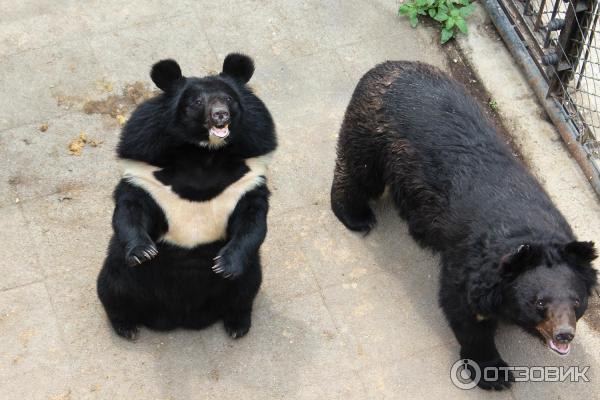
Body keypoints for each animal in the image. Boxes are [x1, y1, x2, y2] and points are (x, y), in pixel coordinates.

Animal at [98, 52, 276, 340]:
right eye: (197, 102)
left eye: (228, 99)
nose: (220, 115)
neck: (204, 155)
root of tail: (180, 318)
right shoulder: (143, 169)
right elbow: (130, 209)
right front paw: (144, 252)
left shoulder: (249, 174)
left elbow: (252, 220)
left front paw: (223, 265)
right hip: (120, 270)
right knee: (113, 288)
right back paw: (126, 326)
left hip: (250, 271)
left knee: (247, 288)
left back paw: (237, 325)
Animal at [330, 61, 596, 390]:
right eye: (539, 303)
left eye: (577, 302)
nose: (564, 335)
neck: (529, 231)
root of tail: (386, 66)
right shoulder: (469, 261)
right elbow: (463, 310)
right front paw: (495, 373)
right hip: (372, 132)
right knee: (359, 172)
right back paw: (356, 216)